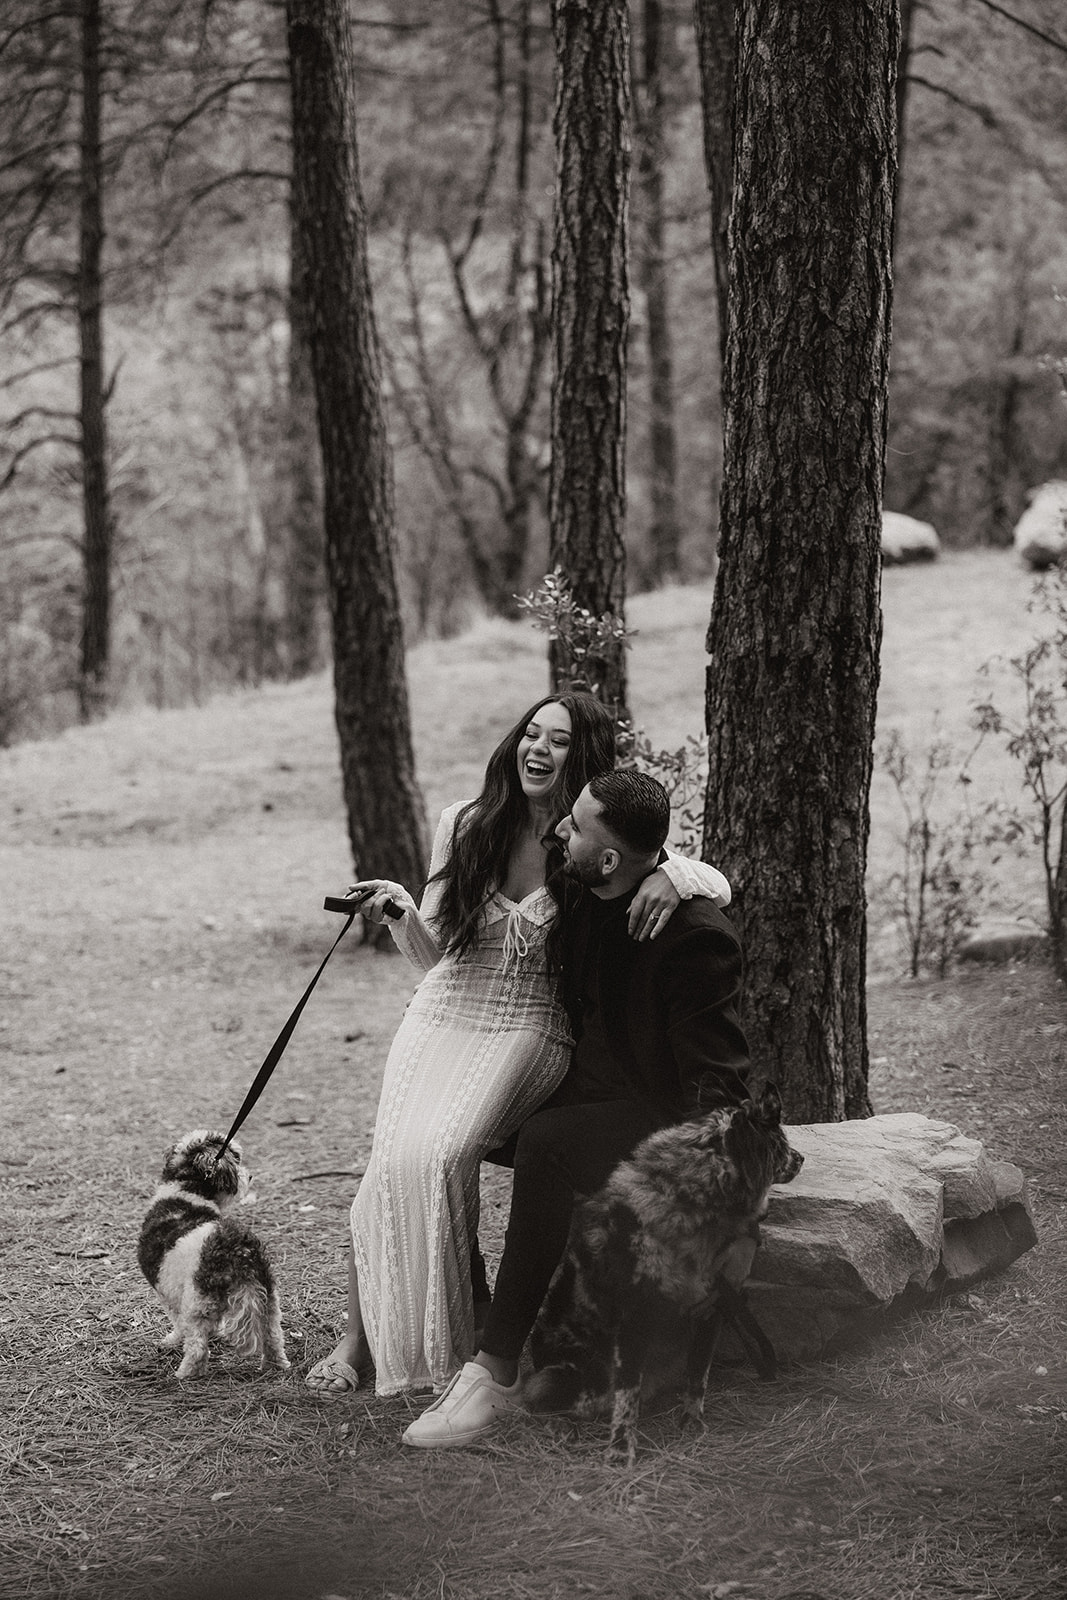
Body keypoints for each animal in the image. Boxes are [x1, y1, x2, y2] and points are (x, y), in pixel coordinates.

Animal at [135, 1132, 289, 1382]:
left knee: (197, 1347)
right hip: (268, 1299)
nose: (250, 1175)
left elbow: (177, 1323)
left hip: (197, 1303)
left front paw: (172, 1340)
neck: (188, 1190)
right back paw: (276, 1365)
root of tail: (236, 1249)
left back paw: (186, 1374)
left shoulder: (168, 1293)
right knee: (273, 1336)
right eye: (235, 1157)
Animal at [524, 1088, 799, 1465]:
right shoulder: (634, 1318)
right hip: (563, 1377)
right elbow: (627, 1394)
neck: (689, 1203)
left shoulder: (712, 1306)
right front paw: (621, 1448)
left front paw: (692, 1421)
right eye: (779, 1144)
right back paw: (564, 1428)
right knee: (550, 1403)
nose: (801, 1158)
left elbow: (698, 1373)